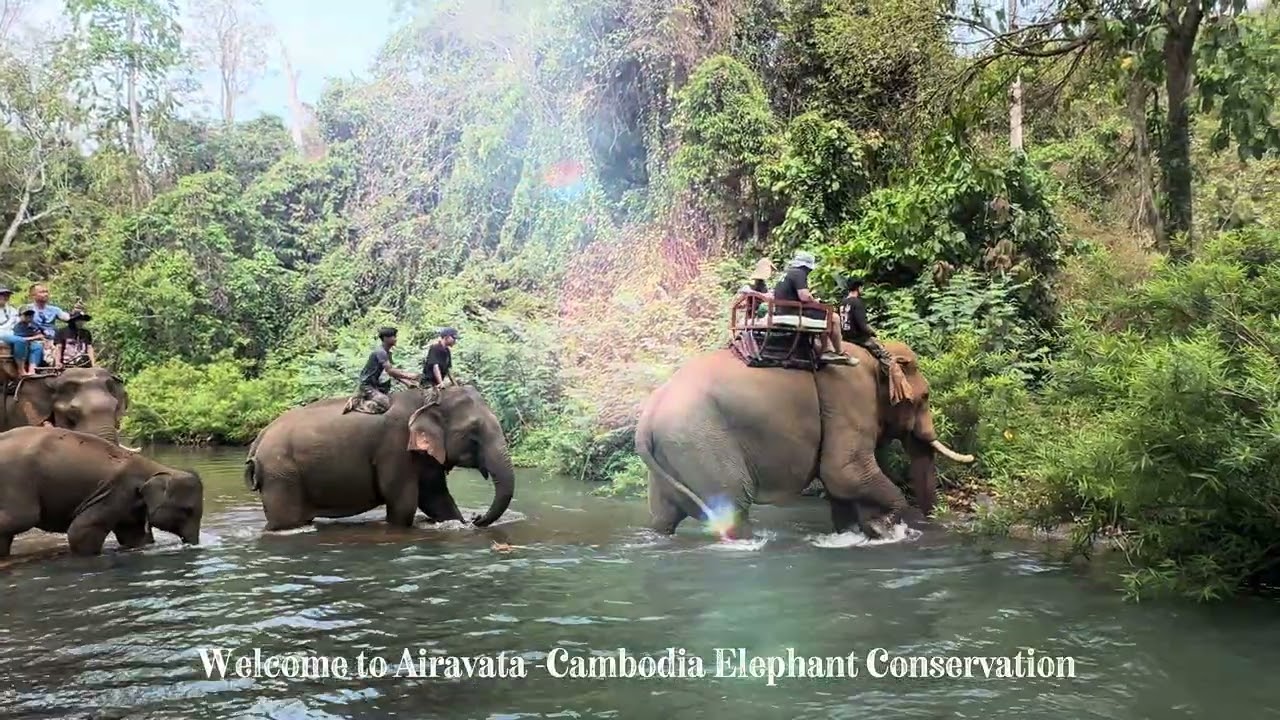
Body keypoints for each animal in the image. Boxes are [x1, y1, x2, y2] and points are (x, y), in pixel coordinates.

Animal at [0, 426, 204, 556]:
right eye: (187, 510)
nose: (192, 546)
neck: (154, 467)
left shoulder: (130, 504)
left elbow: (133, 536)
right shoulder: (115, 493)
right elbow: (79, 533)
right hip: (16, 480)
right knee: (20, 519)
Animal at [244, 385, 515, 532]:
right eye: (473, 433)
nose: (476, 518)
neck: (427, 399)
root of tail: (257, 440)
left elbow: (437, 499)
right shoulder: (395, 448)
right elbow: (403, 504)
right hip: (281, 474)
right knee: (287, 522)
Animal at [635, 339, 975, 540]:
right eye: (925, 397)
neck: (874, 353)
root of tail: (647, 415)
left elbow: (843, 485)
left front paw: (862, 531)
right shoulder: (849, 396)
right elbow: (844, 473)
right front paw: (883, 526)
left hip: (673, 455)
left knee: (663, 516)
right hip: (702, 446)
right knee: (733, 505)